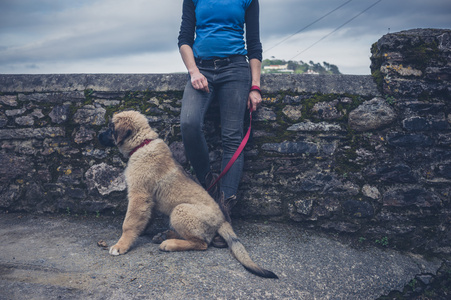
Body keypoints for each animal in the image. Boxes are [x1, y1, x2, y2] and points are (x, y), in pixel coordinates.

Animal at [97, 110, 278, 278]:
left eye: (110, 128)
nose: (98, 135)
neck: (142, 144)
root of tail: (222, 220)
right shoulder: (148, 199)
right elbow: (143, 218)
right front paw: (139, 231)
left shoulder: (139, 195)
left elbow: (128, 223)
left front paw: (121, 245)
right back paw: (165, 234)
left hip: (181, 210)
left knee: (202, 243)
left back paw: (169, 243)